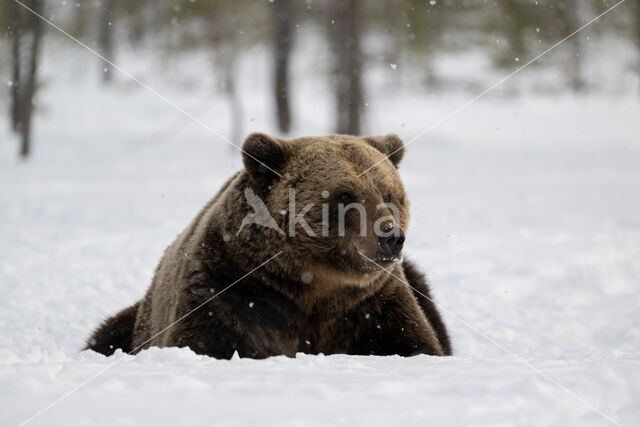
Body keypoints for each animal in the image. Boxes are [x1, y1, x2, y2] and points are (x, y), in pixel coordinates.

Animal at [86, 133, 450, 358]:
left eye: (389, 194)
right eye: (344, 196)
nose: (391, 236)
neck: (313, 287)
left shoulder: (373, 303)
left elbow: (414, 343)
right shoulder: (228, 290)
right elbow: (205, 341)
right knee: (104, 334)